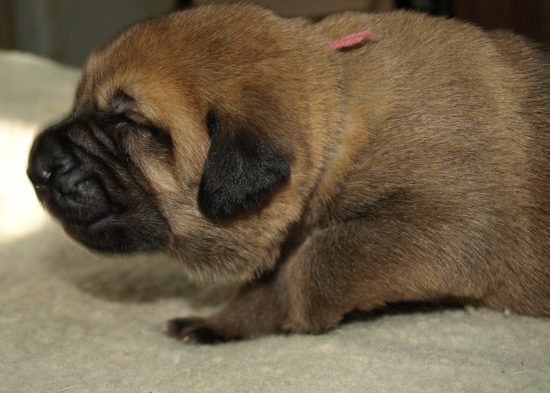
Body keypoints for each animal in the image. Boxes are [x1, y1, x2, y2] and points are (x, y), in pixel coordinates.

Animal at [27, 3, 550, 342]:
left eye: (125, 121)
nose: (36, 166)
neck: (341, 115)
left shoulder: (449, 224)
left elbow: (323, 254)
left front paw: (301, 315)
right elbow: (263, 283)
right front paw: (223, 323)